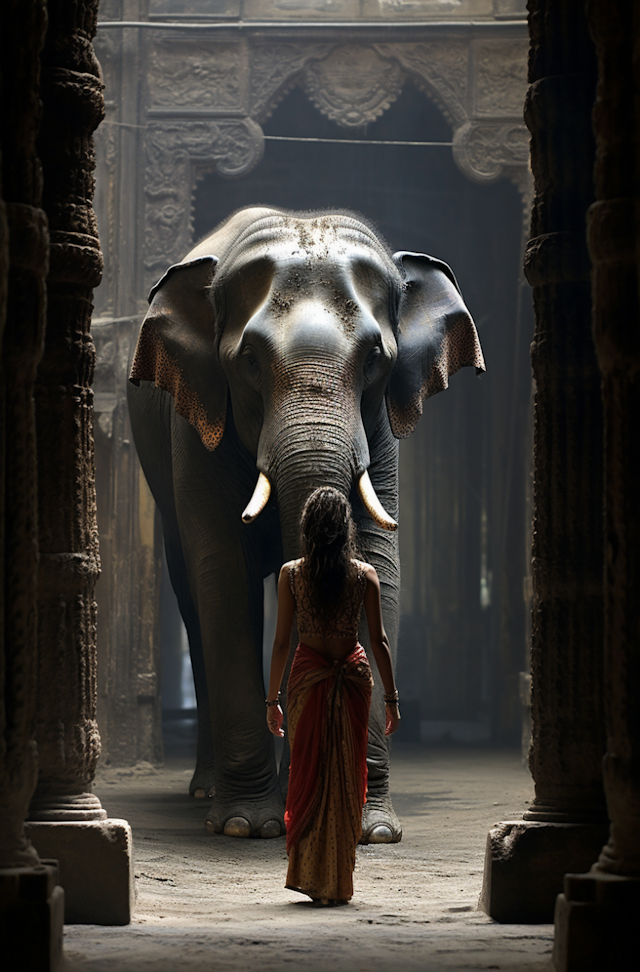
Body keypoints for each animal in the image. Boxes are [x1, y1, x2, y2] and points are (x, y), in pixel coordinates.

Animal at [127, 207, 482, 844]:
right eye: (248, 360)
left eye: (374, 357)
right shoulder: (196, 429)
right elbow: (223, 571)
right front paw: (247, 825)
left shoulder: (380, 433)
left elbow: (377, 565)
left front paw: (369, 830)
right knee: (194, 600)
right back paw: (208, 793)